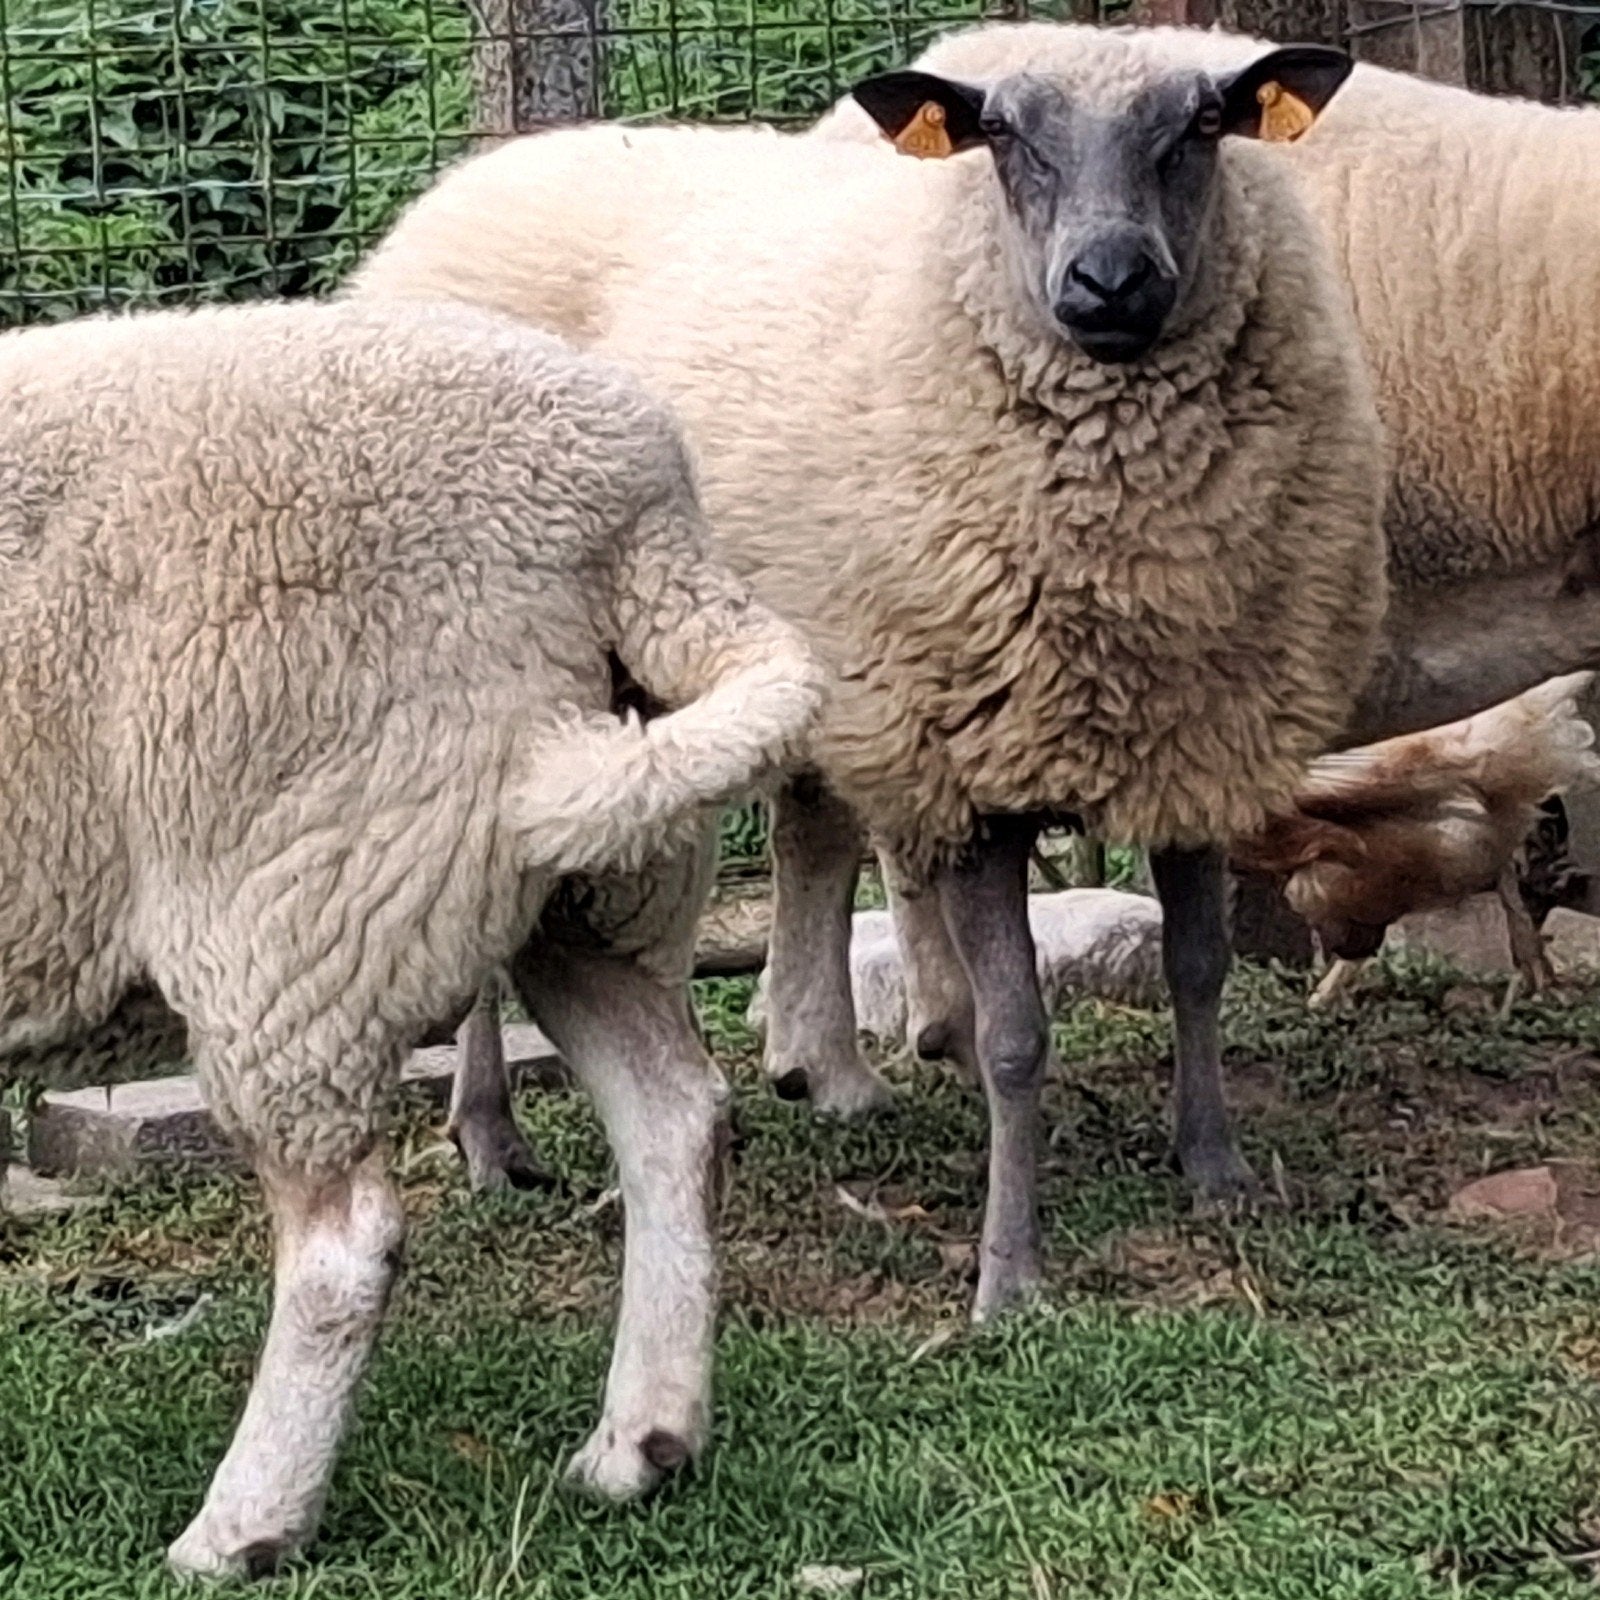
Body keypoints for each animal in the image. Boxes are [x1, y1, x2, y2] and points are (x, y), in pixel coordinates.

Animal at [0, 296, 820, 1576]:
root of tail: (631, 506)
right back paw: (640, 1444)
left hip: (295, 907)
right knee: (676, 1119)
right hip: (586, 872)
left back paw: (242, 1526)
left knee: (346, 1241)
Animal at [354, 33, 1389, 1319]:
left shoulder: (1197, 742)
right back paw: (494, 1133)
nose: (1107, 284)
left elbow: (1197, 967)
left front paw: (1215, 1168)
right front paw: (1008, 1270)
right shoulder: (978, 761)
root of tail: (466, 183)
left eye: (1202, 128)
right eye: (1002, 137)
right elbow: (1015, 1035)